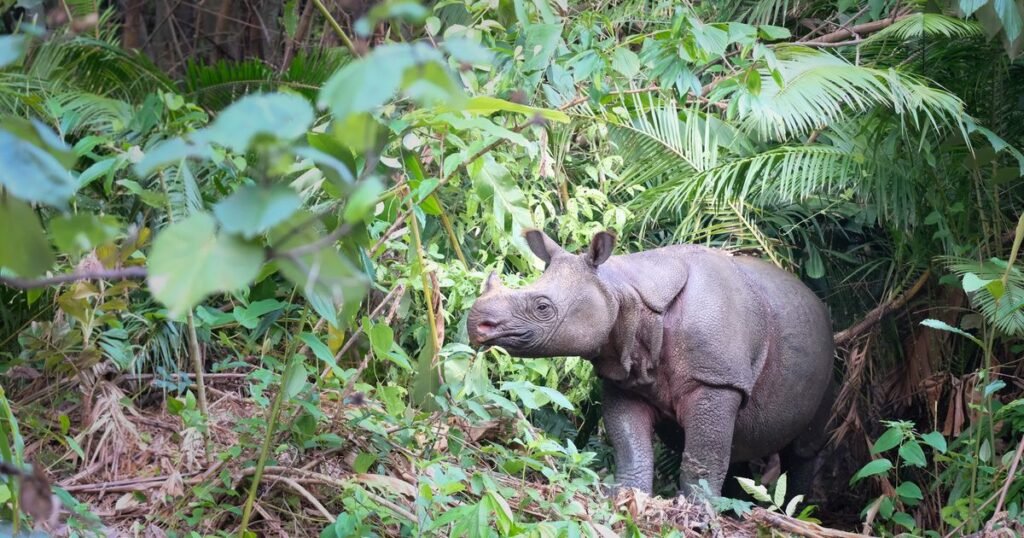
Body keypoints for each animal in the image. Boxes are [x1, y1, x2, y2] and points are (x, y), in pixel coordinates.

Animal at [467, 229, 835, 498]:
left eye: (543, 308)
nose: (476, 324)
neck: (621, 290)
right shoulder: (624, 376)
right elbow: (630, 444)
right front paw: (627, 498)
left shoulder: (716, 380)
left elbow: (703, 459)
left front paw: (696, 514)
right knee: (740, 448)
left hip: (829, 354)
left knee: (802, 450)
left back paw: (794, 511)